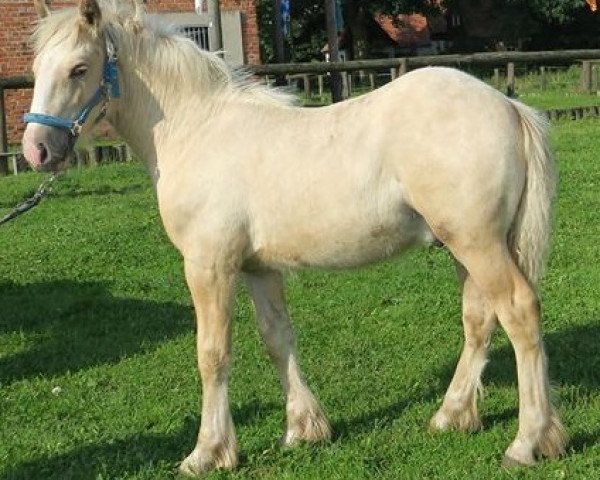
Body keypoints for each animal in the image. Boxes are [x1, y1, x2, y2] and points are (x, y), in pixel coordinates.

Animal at [22, 0, 568, 474]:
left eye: (79, 69)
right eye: (36, 69)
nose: (37, 149)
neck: (197, 130)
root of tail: (508, 106)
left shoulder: (208, 265)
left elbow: (212, 353)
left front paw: (208, 453)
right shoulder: (259, 268)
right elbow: (277, 338)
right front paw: (304, 429)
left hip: (478, 244)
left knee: (519, 313)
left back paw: (527, 442)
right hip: (466, 246)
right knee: (479, 319)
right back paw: (452, 417)